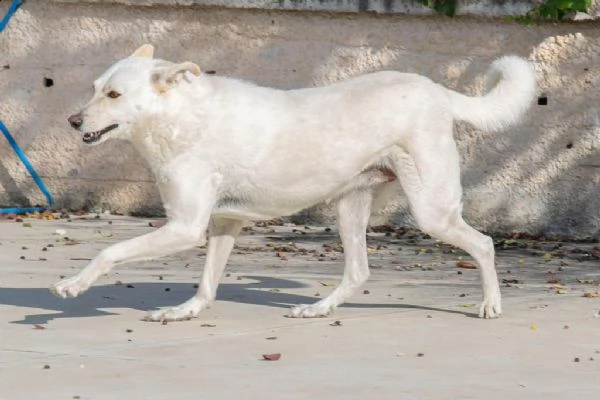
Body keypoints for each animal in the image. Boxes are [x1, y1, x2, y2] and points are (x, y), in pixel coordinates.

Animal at [51, 44, 536, 322]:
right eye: (94, 87)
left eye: (114, 95)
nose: (72, 121)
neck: (181, 118)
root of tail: (435, 89)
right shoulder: (223, 224)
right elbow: (207, 281)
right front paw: (187, 311)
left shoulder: (185, 228)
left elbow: (110, 251)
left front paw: (74, 285)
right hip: (350, 207)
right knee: (358, 271)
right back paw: (319, 309)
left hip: (432, 211)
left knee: (483, 244)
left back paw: (491, 305)